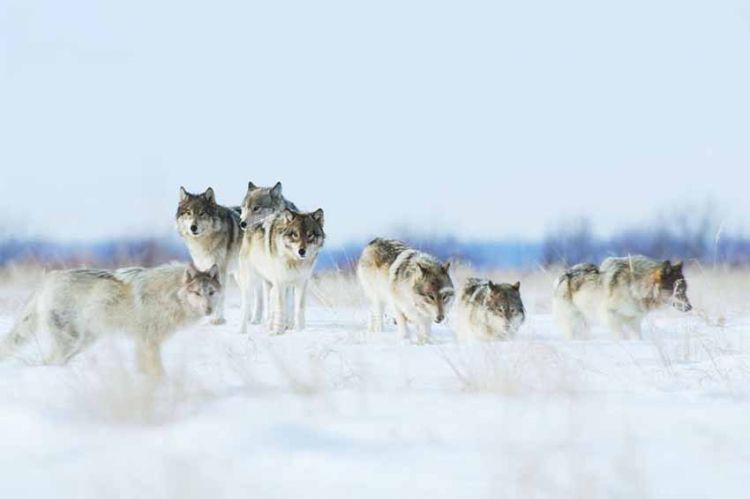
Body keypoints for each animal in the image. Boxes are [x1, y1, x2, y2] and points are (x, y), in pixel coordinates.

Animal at [0, 262, 222, 376]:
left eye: (211, 292)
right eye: (197, 293)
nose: (209, 310)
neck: (169, 295)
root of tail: (47, 280)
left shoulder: (143, 342)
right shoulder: (149, 342)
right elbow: (158, 371)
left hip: (84, 342)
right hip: (71, 341)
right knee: (48, 361)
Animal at [176, 186, 241, 326]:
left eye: (202, 213)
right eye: (188, 213)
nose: (193, 227)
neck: (203, 243)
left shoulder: (220, 270)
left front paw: (217, 319)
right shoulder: (203, 266)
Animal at [239, 207, 324, 336]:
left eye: (310, 235)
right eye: (295, 234)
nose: (301, 251)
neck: (294, 261)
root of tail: (250, 227)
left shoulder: (301, 283)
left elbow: (299, 309)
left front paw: (300, 331)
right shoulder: (280, 283)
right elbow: (281, 307)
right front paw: (278, 332)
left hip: (273, 285)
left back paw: (270, 326)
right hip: (251, 282)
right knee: (246, 307)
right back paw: (242, 332)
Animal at [552, 256, 692, 342]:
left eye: (685, 290)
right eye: (677, 290)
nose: (689, 307)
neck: (634, 288)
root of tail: (564, 275)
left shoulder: (634, 320)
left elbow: (637, 337)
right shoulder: (612, 316)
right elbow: (620, 336)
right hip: (571, 320)